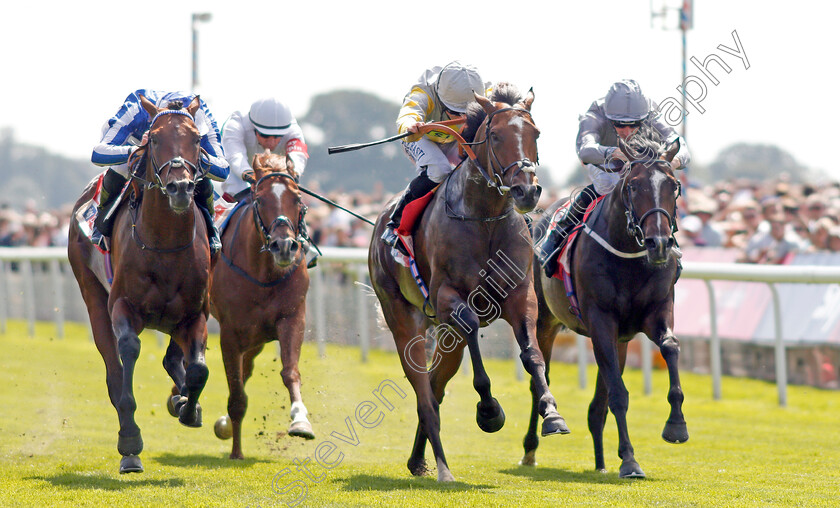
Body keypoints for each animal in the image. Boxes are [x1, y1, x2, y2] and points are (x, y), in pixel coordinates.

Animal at [69, 94, 213, 472]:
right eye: (155, 139)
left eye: (197, 139)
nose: (180, 188)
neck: (165, 242)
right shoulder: (122, 305)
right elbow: (129, 352)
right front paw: (131, 441)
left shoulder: (195, 313)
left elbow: (198, 369)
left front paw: (188, 407)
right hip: (92, 295)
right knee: (113, 372)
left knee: (175, 361)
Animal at [210, 152, 312, 460]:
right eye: (260, 200)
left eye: (297, 199)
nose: (284, 246)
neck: (264, 274)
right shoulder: (230, 332)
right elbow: (236, 394)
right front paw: (236, 452)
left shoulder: (292, 317)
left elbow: (290, 371)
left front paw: (300, 421)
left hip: (256, 338)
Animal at [370, 83, 572, 480]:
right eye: (495, 136)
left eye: (536, 134)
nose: (527, 191)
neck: (484, 219)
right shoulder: (448, 296)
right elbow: (472, 326)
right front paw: (489, 411)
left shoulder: (522, 296)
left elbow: (532, 355)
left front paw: (552, 414)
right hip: (403, 316)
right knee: (423, 390)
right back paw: (442, 467)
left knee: (436, 385)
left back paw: (419, 460)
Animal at [524, 133, 688, 478]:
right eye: (634, 186)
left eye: (674, 185)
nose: (659, 243)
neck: (629, 257)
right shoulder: (601, 321)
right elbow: (619, 395)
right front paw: (630, 461)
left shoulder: (657, 312)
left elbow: (670, 347)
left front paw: (676, 425)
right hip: (545, 321)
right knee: (540, 380)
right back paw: (533, 446)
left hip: (619, 341)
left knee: (596, 406)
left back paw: (599, 463)